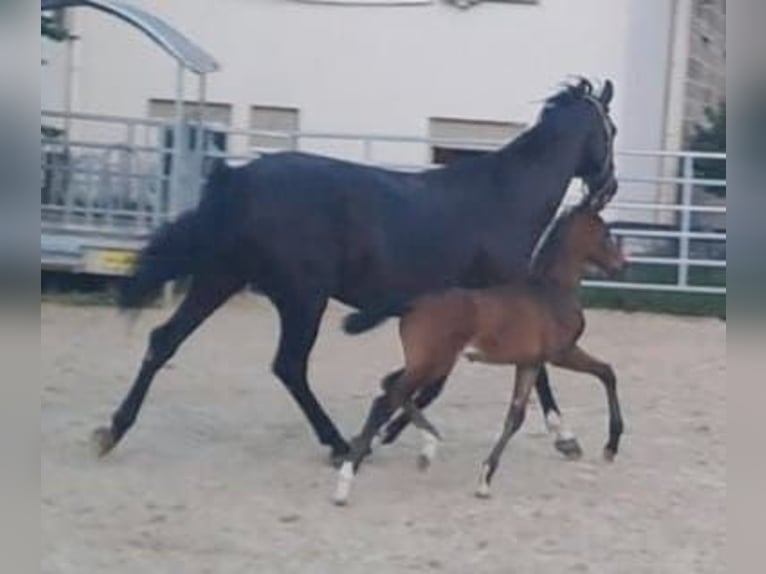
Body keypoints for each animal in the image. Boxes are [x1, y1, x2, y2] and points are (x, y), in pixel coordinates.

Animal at [91, 77, 616, 464]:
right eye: (609, 129)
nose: (608, 187)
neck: (505, 197)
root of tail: (238, 178)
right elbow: (511, 373)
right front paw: (566, 437)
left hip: (222, 277)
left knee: (165, 340)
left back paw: (112, 429)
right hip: (302, 296)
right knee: (288, 365)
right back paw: (339, 443)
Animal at [336, 200, 632, 506]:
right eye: (606, 234)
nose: (622, 265)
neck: (552, 291)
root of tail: (412, 303)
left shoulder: (529, 363)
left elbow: (516, 416)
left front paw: (485, 480)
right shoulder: (561, 353)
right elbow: (607, 372)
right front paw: (611, 446)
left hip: (429, 362)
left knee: (391, 387)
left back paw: (426, 446)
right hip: (432, 363)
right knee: (387, 398)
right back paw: (345, 483)